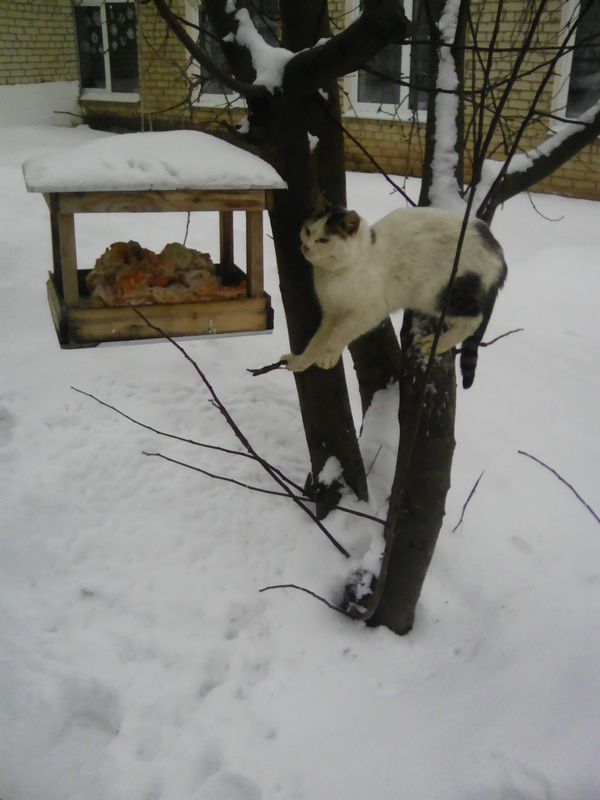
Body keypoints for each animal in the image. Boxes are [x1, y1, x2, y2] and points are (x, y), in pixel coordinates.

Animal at [282, 203, 506, 384]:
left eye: (323, 240)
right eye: (307, 231)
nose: (305, 247)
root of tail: (498, 253)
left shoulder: (368, 313)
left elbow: (342, 333)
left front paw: (329, 355)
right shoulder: (331, 313)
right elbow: (317, 341)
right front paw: (299, 362)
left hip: (435, 293)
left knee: (474, 320)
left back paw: (436, 343)